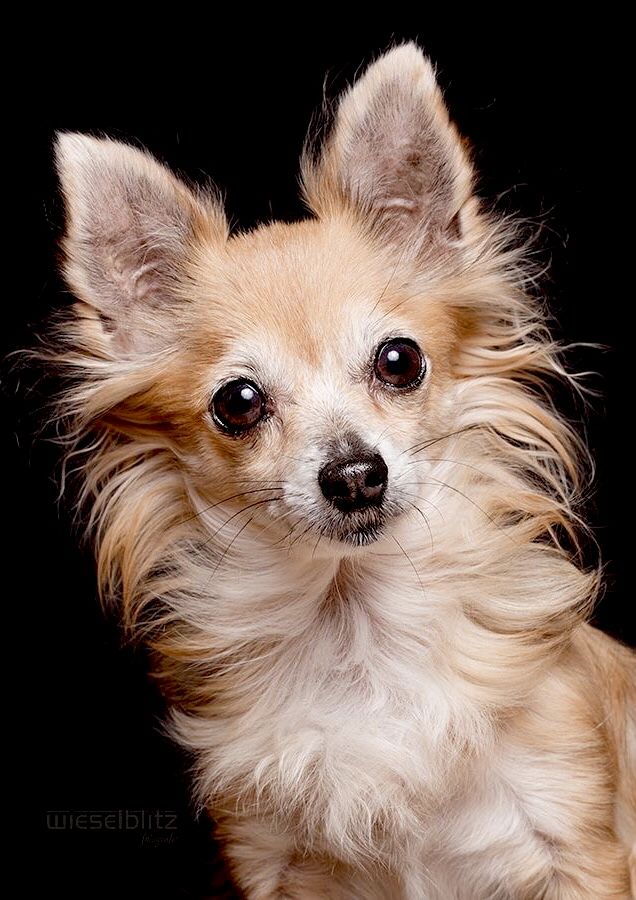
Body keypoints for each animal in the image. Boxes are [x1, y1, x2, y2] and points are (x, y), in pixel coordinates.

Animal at [47, 44, 632, 900]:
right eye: (238, 403)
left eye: (400, 361)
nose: (355, 474)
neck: (355, 629)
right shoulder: (267, 861)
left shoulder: (579, 844)